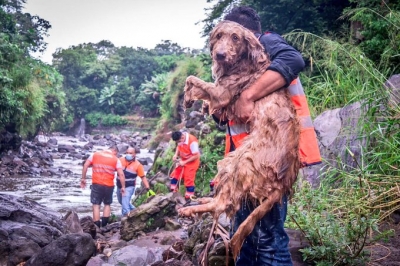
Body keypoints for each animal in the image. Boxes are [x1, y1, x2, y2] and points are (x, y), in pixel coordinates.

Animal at [179, 20, 300, 262]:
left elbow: (191, 79)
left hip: (237, 162)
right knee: (223, 202)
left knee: (222, 203)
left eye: (236, 38)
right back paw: (202, 201)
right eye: (218, 36)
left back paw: (191, 209)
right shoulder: (220, 95)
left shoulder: (222, 92)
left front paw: (187, 97)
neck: (243, 63)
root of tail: (283, 183)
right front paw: (201, 105)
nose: (220, 55)